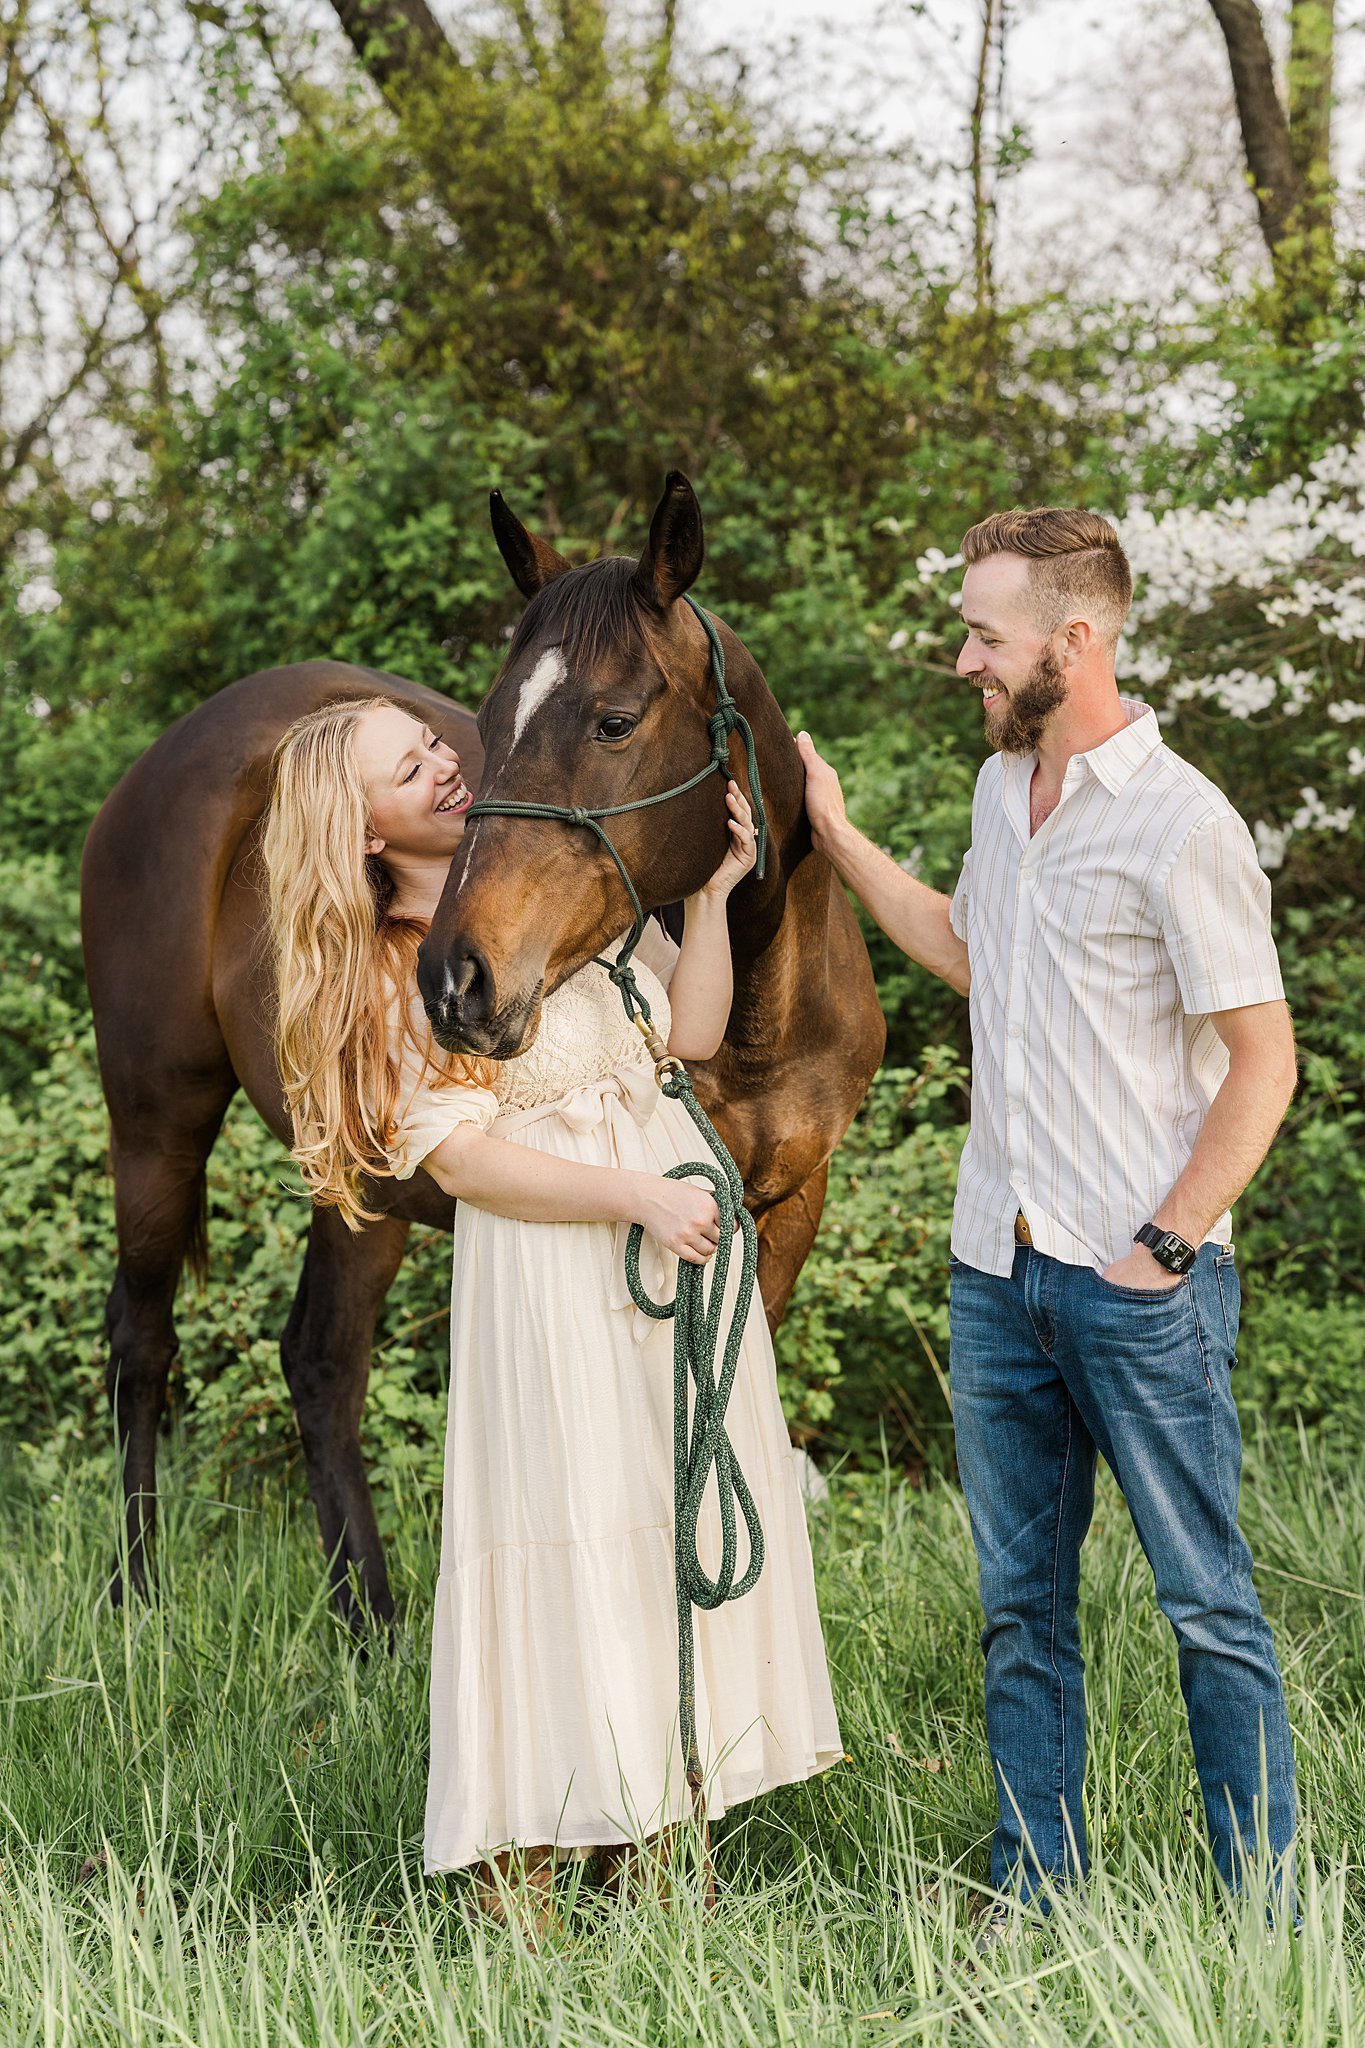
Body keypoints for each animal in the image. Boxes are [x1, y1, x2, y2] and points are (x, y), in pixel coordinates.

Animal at [85, 471, 892, 1638]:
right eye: (489, 722)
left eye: (613, 720)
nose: (454, 980)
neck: (758, 1011)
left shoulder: (781, 1205)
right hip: (158, 1121)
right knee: (146, 1340)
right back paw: (149, 1596)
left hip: (361, 1185)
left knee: (319, 1360)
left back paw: (365, 1624)